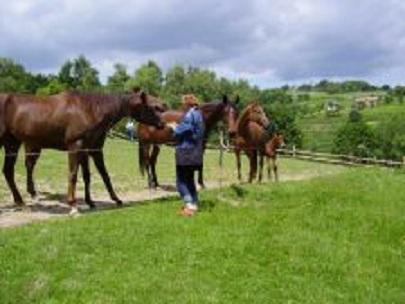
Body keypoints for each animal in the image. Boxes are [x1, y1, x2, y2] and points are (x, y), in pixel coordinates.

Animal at [1, 91, 164, 213]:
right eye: (151, 107)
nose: (162, 124)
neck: (89, 109)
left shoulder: (89, 150)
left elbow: (97, 175)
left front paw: (103, 200)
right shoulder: (76, 147)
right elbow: (73, 175)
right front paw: (73, 205)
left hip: (13, 144)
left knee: (9, 171)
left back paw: (21, 202)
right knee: (18, 169)